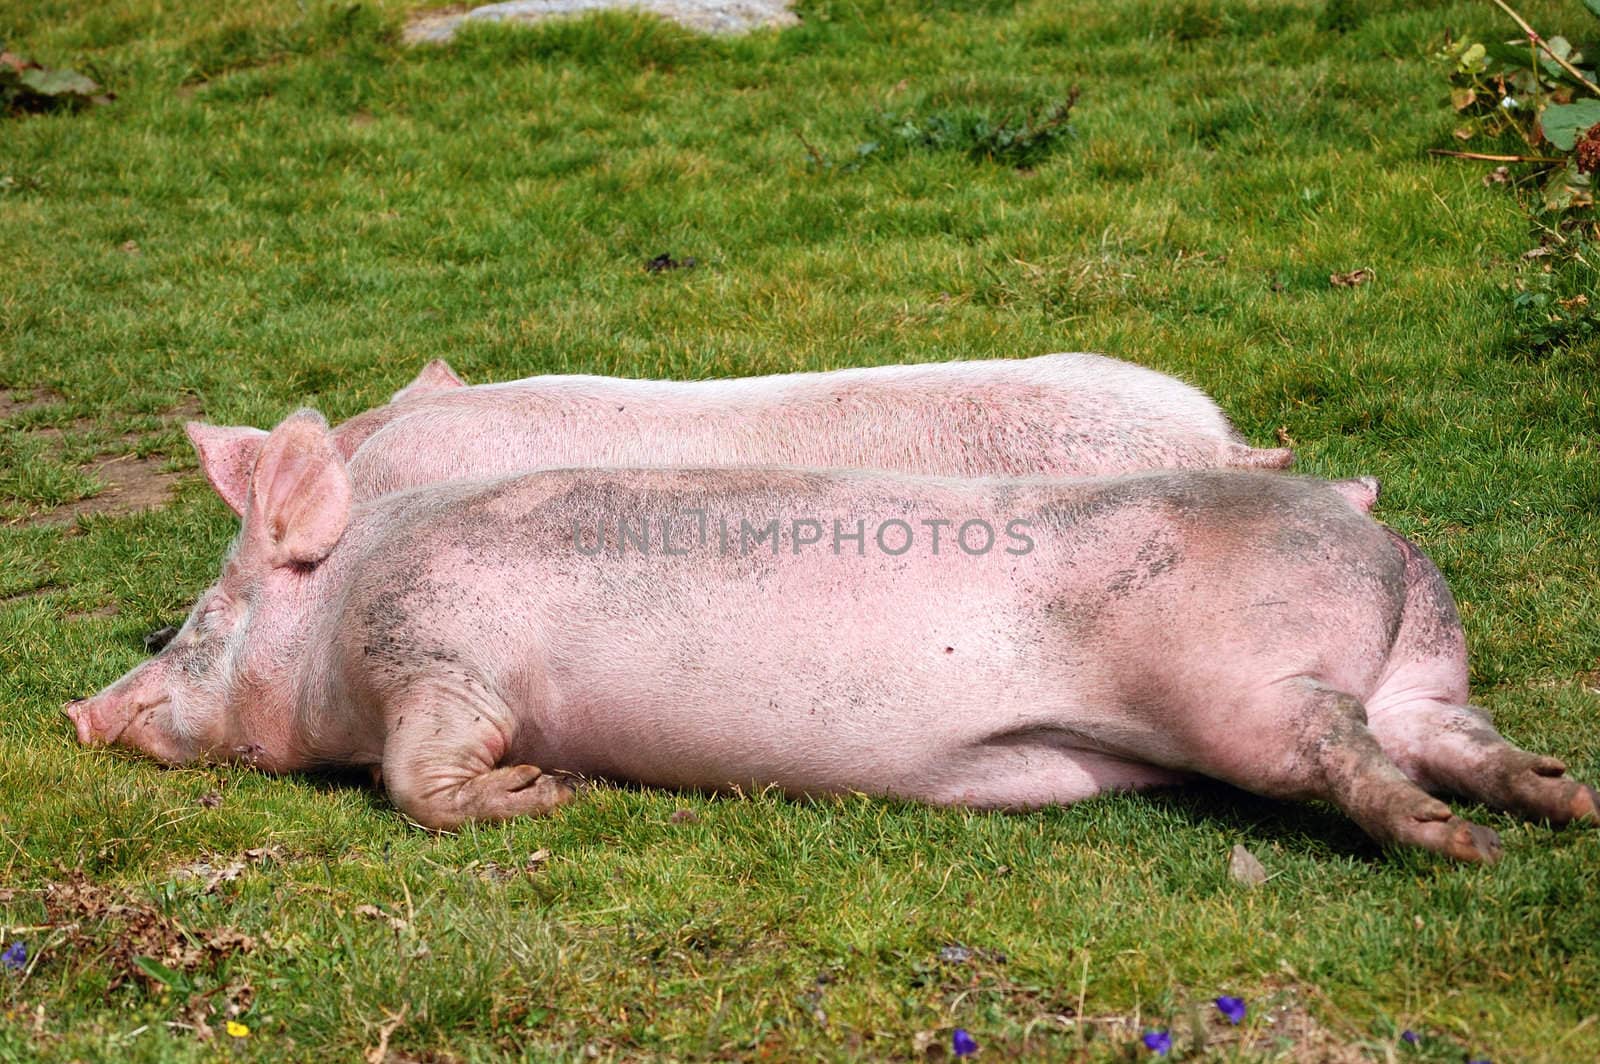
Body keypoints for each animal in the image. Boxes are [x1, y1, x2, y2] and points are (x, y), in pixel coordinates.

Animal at [68, 408, 1593, 864]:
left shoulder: (440, 663)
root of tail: (1372, 537)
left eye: (198, 623)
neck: (341, 617)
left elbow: (418, 778)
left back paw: (1464, 847)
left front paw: (547, 789)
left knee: (1337, 740)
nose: (75, 712)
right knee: (1448, 731)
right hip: (1420, 667)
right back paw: (1561, 797)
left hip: (1244, 688)